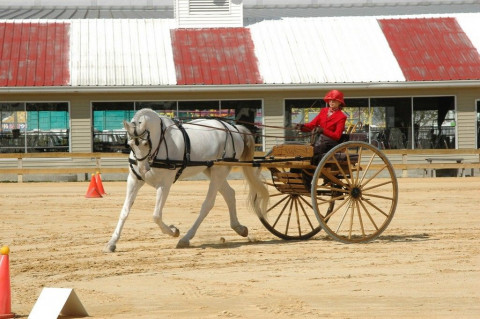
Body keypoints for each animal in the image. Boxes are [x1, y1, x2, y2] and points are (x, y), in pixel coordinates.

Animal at [104, 110, 268, 252]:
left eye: (145, 143)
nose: (143, 170)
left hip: (218, 172)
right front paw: (112, 243)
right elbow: (125, 211)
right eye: (130, 144)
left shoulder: (164, 185)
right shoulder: (134, 181)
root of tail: (234, 128)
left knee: (208, 204)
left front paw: (173, 231)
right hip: (211, 170)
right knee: (229, 194)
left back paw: (185, 238)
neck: (159, 143)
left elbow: (156, 215)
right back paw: (239, 228)